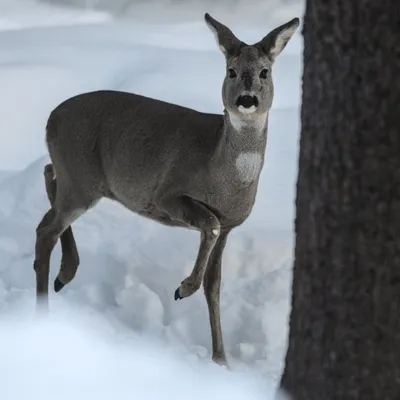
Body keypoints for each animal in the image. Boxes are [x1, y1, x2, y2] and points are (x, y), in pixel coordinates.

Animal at [33, 14, 296, 366]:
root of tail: (51, 118)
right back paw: (43, 311)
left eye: (265, 72)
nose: (246, 99)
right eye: (231, 70)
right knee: (46, 228)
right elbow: (208, 227)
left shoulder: (231, 224)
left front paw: (221, 360)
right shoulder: (167, 194)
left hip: (77, 178)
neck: (223, 172)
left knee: (48, 180)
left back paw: (64, 275)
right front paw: (182, 288)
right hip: (80, 179)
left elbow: (214, 285)